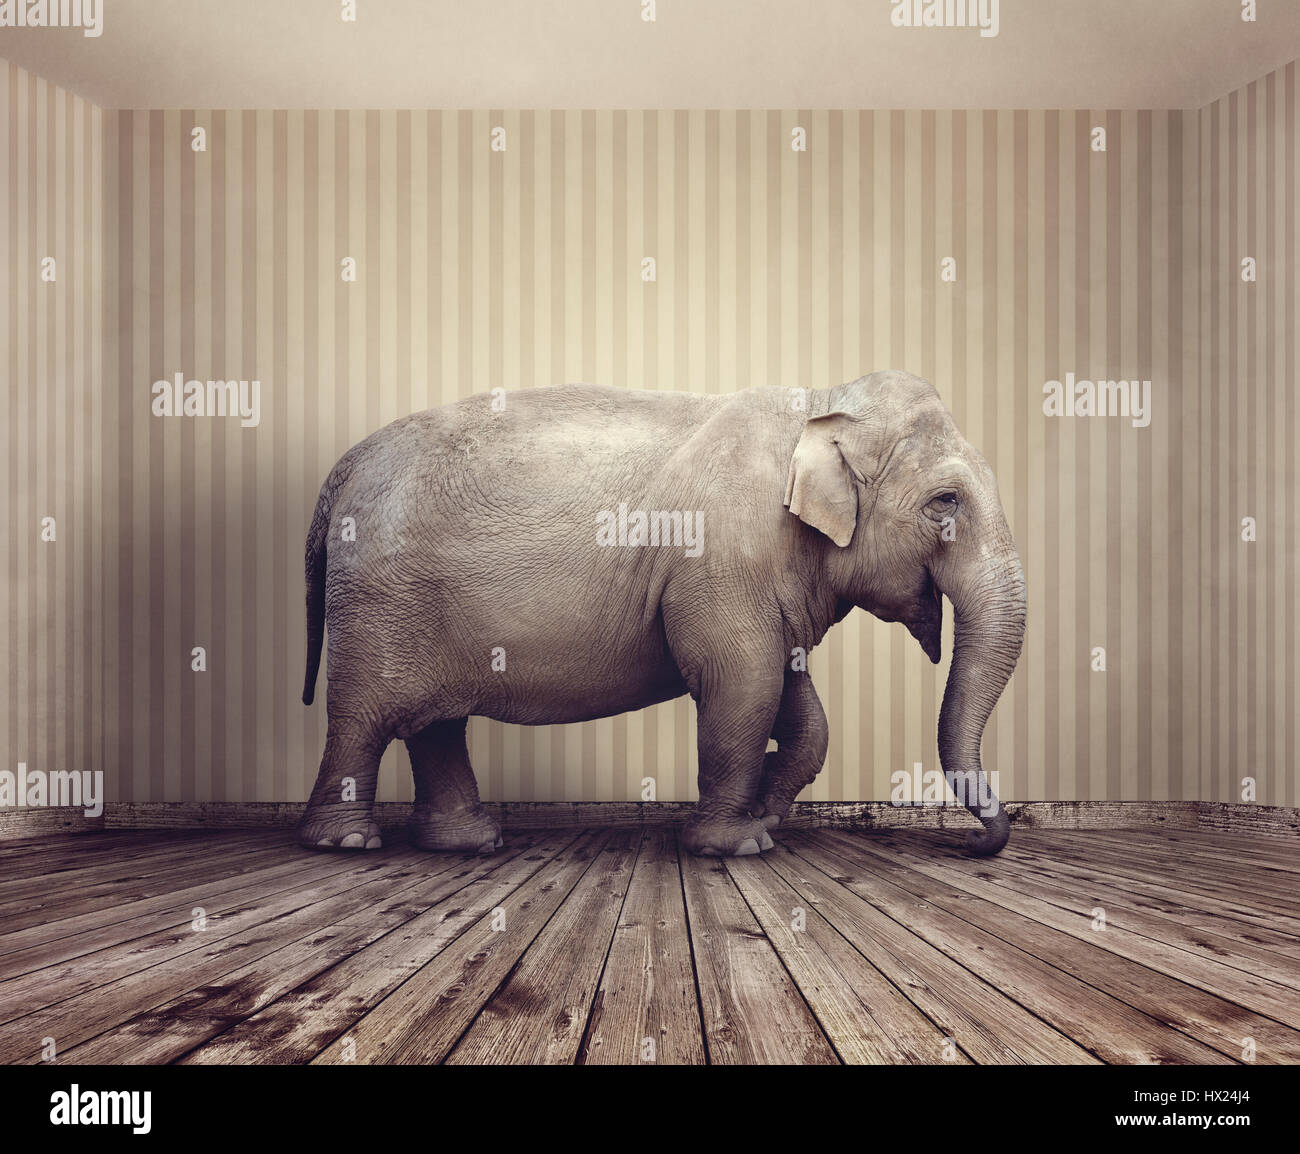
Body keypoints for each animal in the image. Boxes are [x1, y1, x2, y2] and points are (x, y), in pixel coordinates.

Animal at [298, 370, 1026, 858]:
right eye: (945, 501)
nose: (978, 841)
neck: (821, 405)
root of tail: (340, 470)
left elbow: (796, 699)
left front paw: (764, 813)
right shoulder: (720, 562)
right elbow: (743, 681)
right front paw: (735, 844)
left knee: (436, 723)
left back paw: (467, 841)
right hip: (379, 602)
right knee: (363, 717)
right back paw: (344, 844)